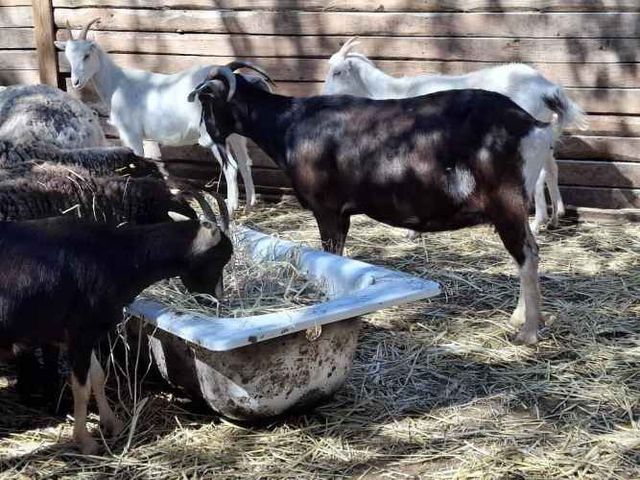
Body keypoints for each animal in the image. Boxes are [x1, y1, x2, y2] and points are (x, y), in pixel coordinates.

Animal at [0, 204, 232, 454]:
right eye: (221, 256)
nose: (216, 301)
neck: (120, 255)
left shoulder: (89, 333)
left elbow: (98, 377)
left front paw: (113, 424)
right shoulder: (79, 333)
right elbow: (81, 388)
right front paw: (86, 441)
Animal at [55, 18, 261, 215]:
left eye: (86, 55)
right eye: (68, 56)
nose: (76, 82)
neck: (117, 84)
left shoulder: (132, 134)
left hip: (212, 131)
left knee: (231, 167)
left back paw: (232, 209)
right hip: (235, 133)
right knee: (245, 162)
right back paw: (250, 205)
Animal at [190, 61, 557, 345]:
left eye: (206, 102)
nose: (205, 138)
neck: (288, 125)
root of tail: (533, 126)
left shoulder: (327, 208)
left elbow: (331, 255)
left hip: (506, 202)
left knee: (527, 254)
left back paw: (528, 332)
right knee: (524, 254)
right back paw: (519, 318)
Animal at [323, 39, 588, 233]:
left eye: (338, 72)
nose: (323, 95)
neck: (393, 93)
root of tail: (548, 89)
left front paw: (412, 229)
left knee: (540, 175)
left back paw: (537, 223)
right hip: (545, 134)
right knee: (551, 169)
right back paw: (555, 217)